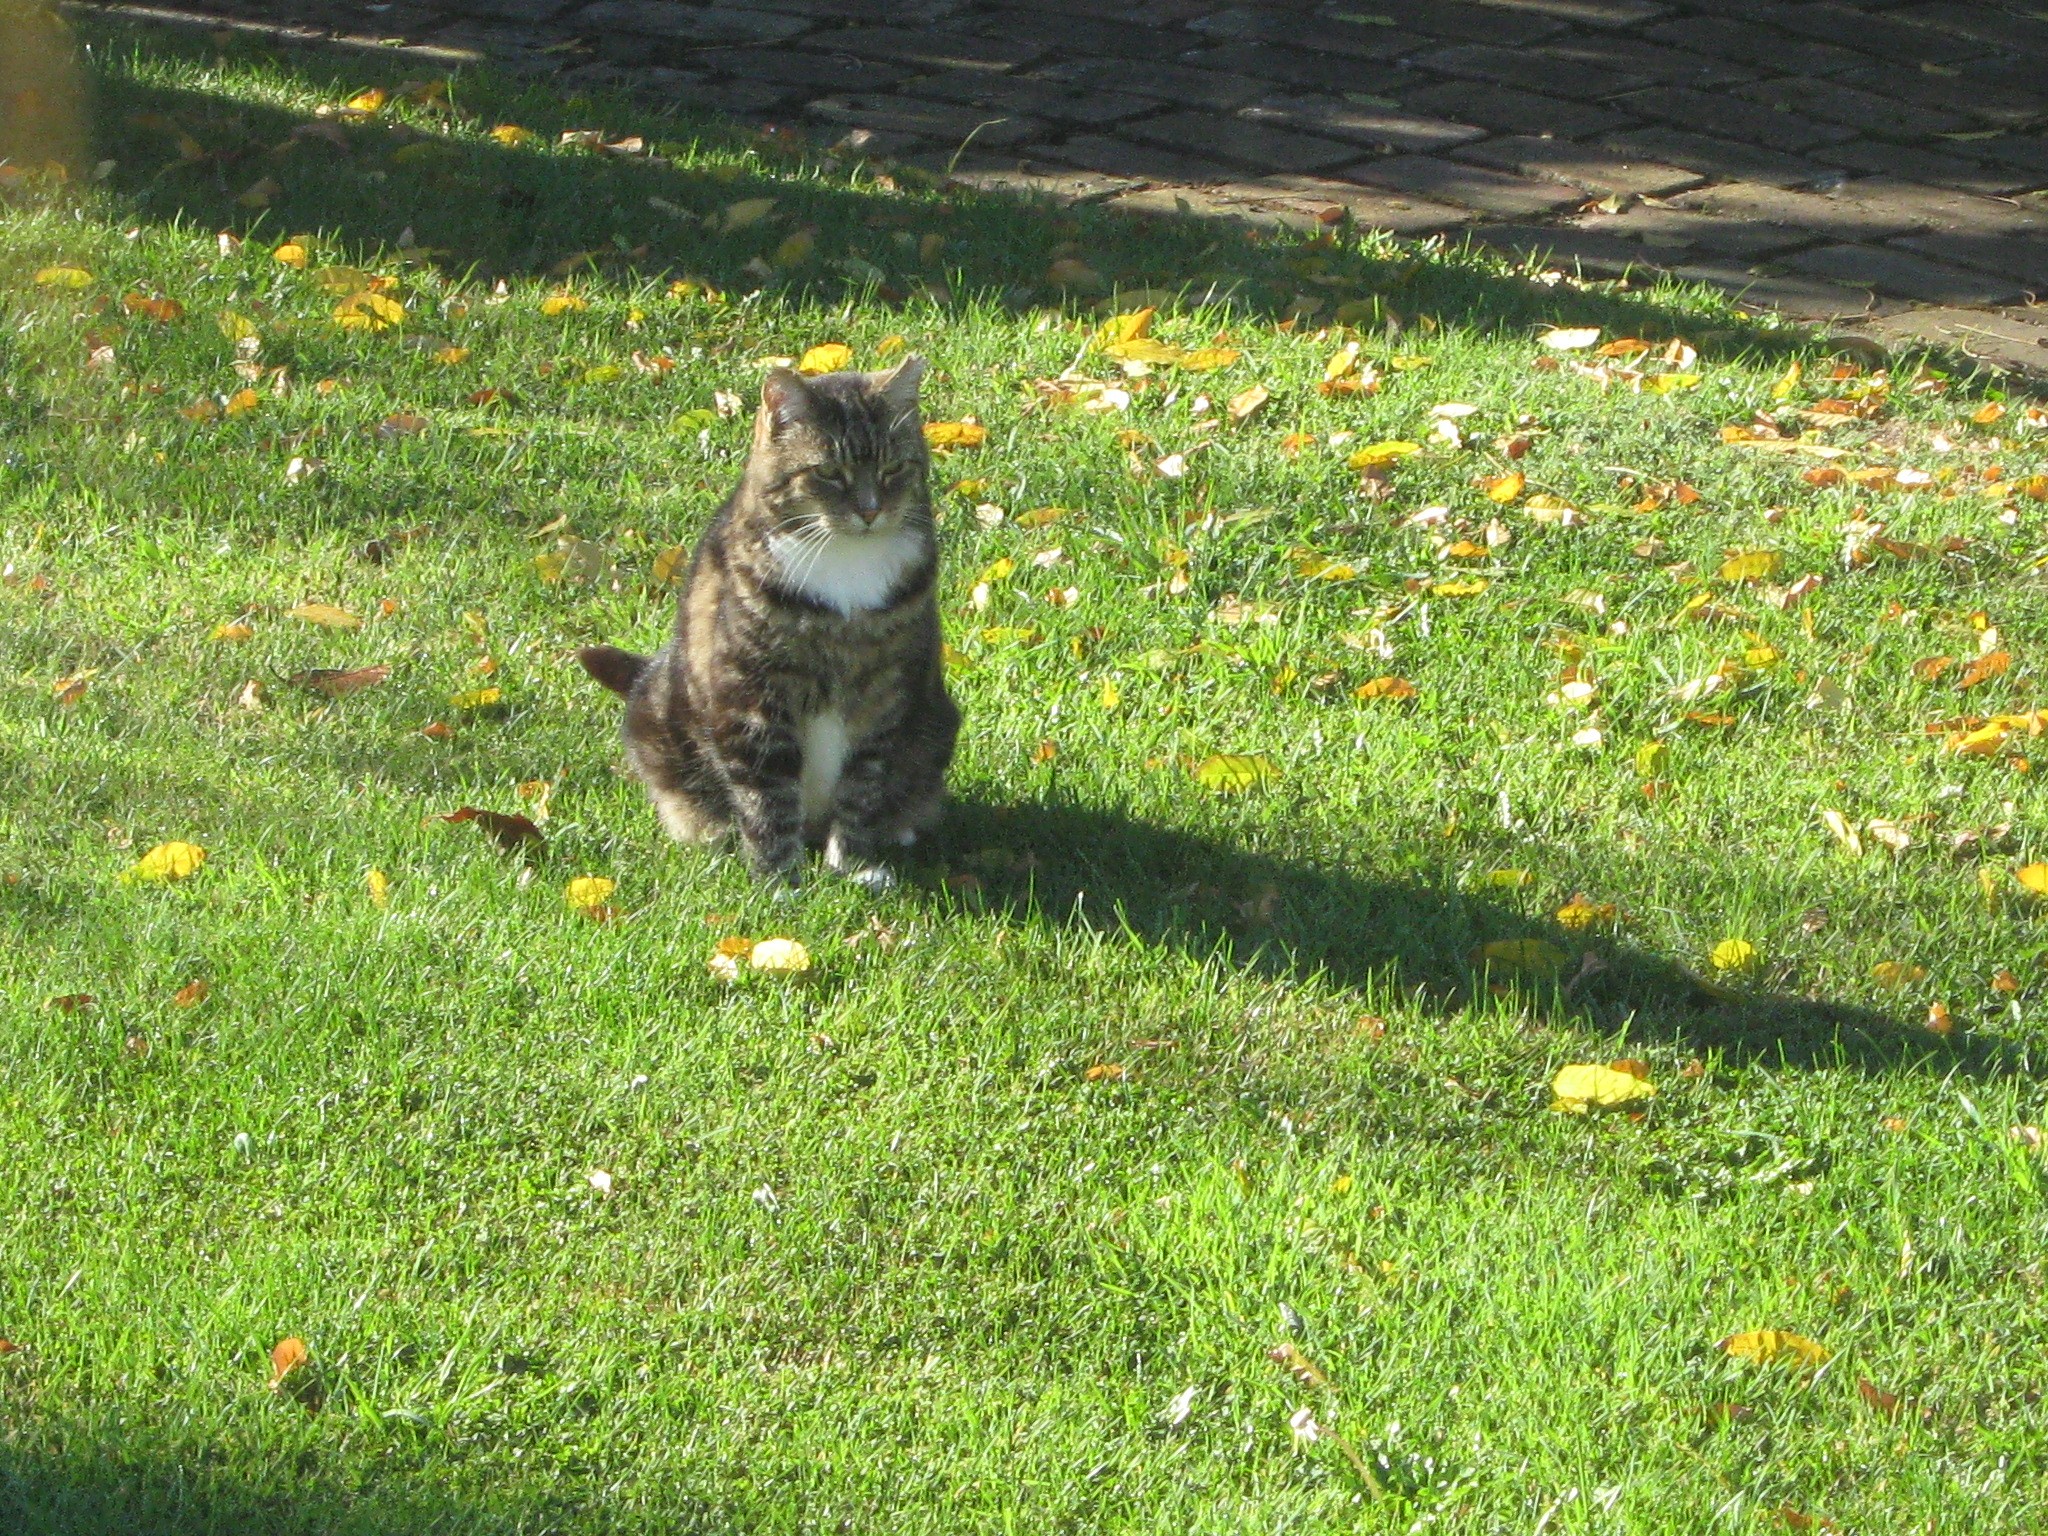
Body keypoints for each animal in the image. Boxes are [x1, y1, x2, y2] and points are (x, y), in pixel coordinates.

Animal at [577, 360, 958, 888]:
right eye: (828, 472)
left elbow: (863, 786)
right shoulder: (750, 696)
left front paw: (854, 867)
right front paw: (779, 880)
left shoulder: (885, 695)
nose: (870, 510)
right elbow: (766, 795)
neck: (847, 562)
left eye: (894, 468)